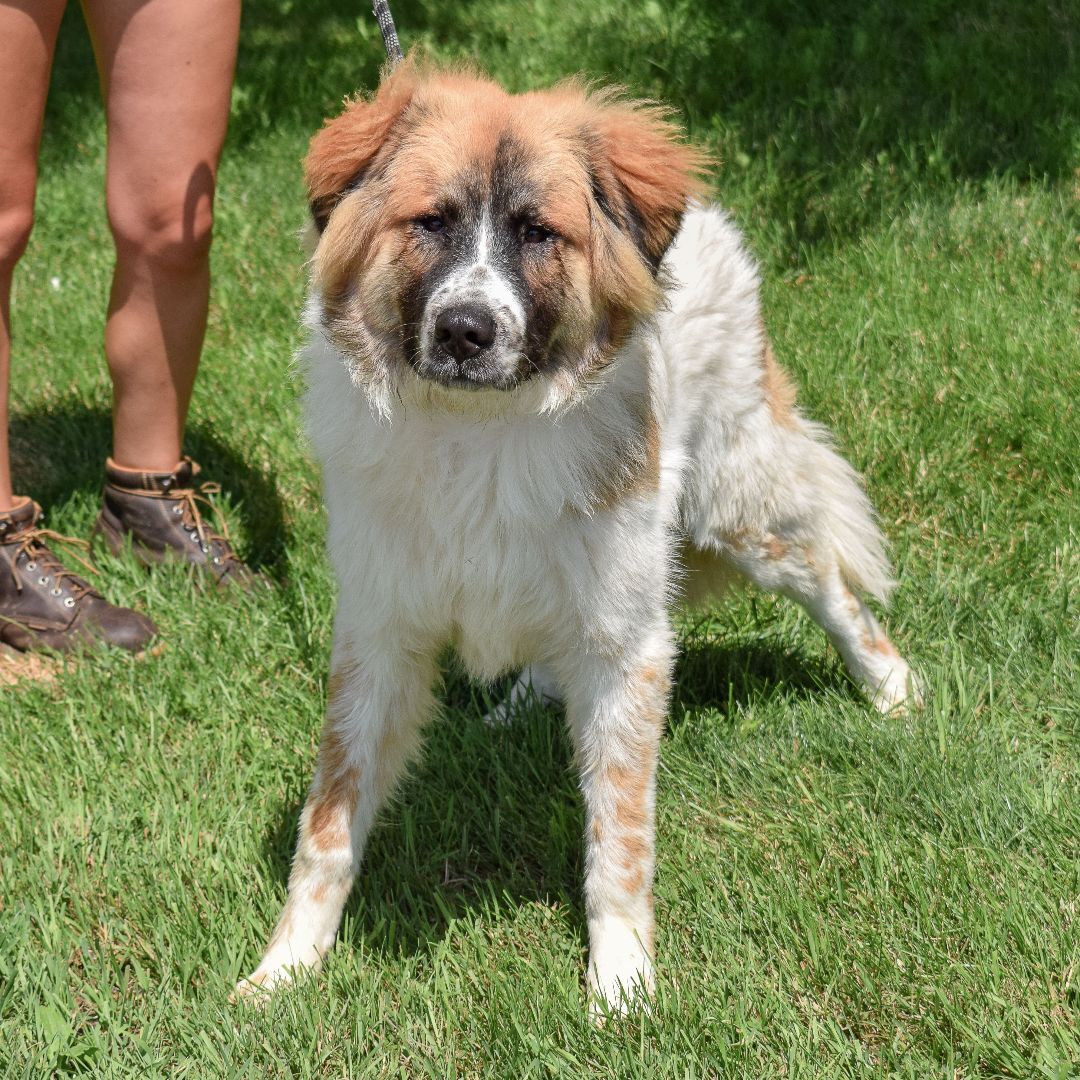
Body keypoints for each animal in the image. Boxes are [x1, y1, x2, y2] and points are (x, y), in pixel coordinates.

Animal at [234, 61, 911, 1010]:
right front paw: (285, 971)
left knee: (826, 576)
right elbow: (330, 821)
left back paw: (891, 687)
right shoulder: (381, 634)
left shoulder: (627, 643)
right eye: (430, 222)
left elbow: (618, 835)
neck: (479, 435)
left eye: (537, 233)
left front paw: (622, 985)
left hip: (734, 505)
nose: (465, 330)